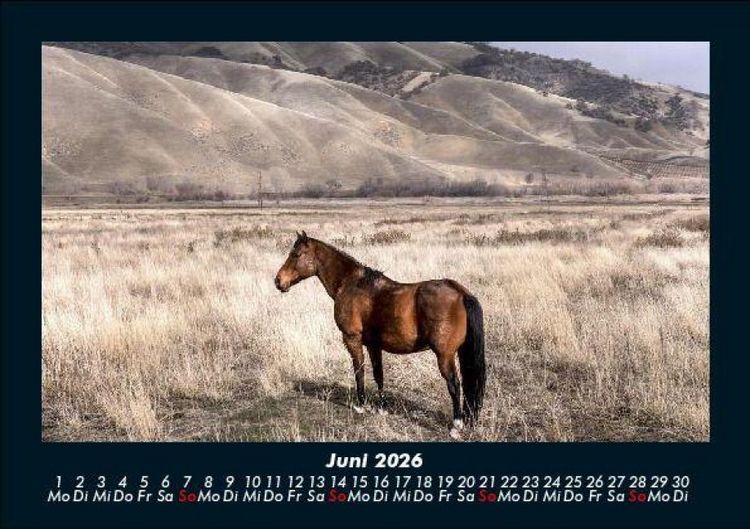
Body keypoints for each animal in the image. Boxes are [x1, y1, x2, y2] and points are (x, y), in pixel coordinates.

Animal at [274, 231, 486, 436]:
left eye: (296, 254)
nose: (278, 281)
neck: (351, 284)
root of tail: (460, 292)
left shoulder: (352, 339)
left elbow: (359, 370)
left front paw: (361, 405)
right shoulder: (373, 344)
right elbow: (378, 374)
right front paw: (382, 407)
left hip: (444, 355)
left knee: (454, 385)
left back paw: (456, 425)